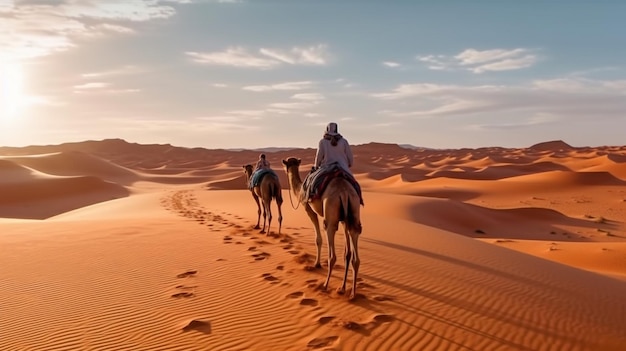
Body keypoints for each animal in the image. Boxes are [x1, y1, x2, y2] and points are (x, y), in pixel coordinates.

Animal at [282, 158, 364, 302]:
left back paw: (325, 285)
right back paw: (350, 292)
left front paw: (317, 264)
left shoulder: (308, 208)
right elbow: (347, 252)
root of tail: (344, 192)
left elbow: (318, 239)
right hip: (353, 209)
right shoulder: (344, 219)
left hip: (330, 212)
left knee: (332, 250)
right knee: (354, 245)